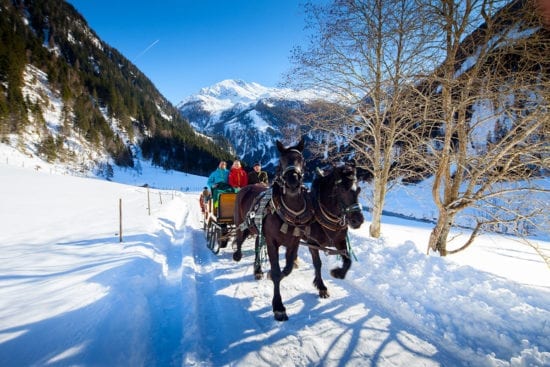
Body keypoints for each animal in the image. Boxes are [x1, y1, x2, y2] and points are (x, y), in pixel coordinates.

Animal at [233, 138, 314, 322]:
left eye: (302, 160)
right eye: (281, 161)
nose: (293, 180)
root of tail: (247, 188)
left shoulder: (294, 242)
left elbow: (287, 269)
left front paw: (270, 273)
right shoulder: (272, 241)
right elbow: (277, 272)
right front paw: (278, 307)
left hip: (258, 229)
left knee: (257, 244)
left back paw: (257, 269)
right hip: (242, 222)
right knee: (240, 238)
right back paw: (237, 254)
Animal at [306, 162, 366, 300]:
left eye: (359, 190)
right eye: (342, 190)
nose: (358, 220)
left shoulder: (340, 241)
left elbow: (348, 260)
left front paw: (337, 273)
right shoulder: (312, 243)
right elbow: (317, 263)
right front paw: (322, 287)